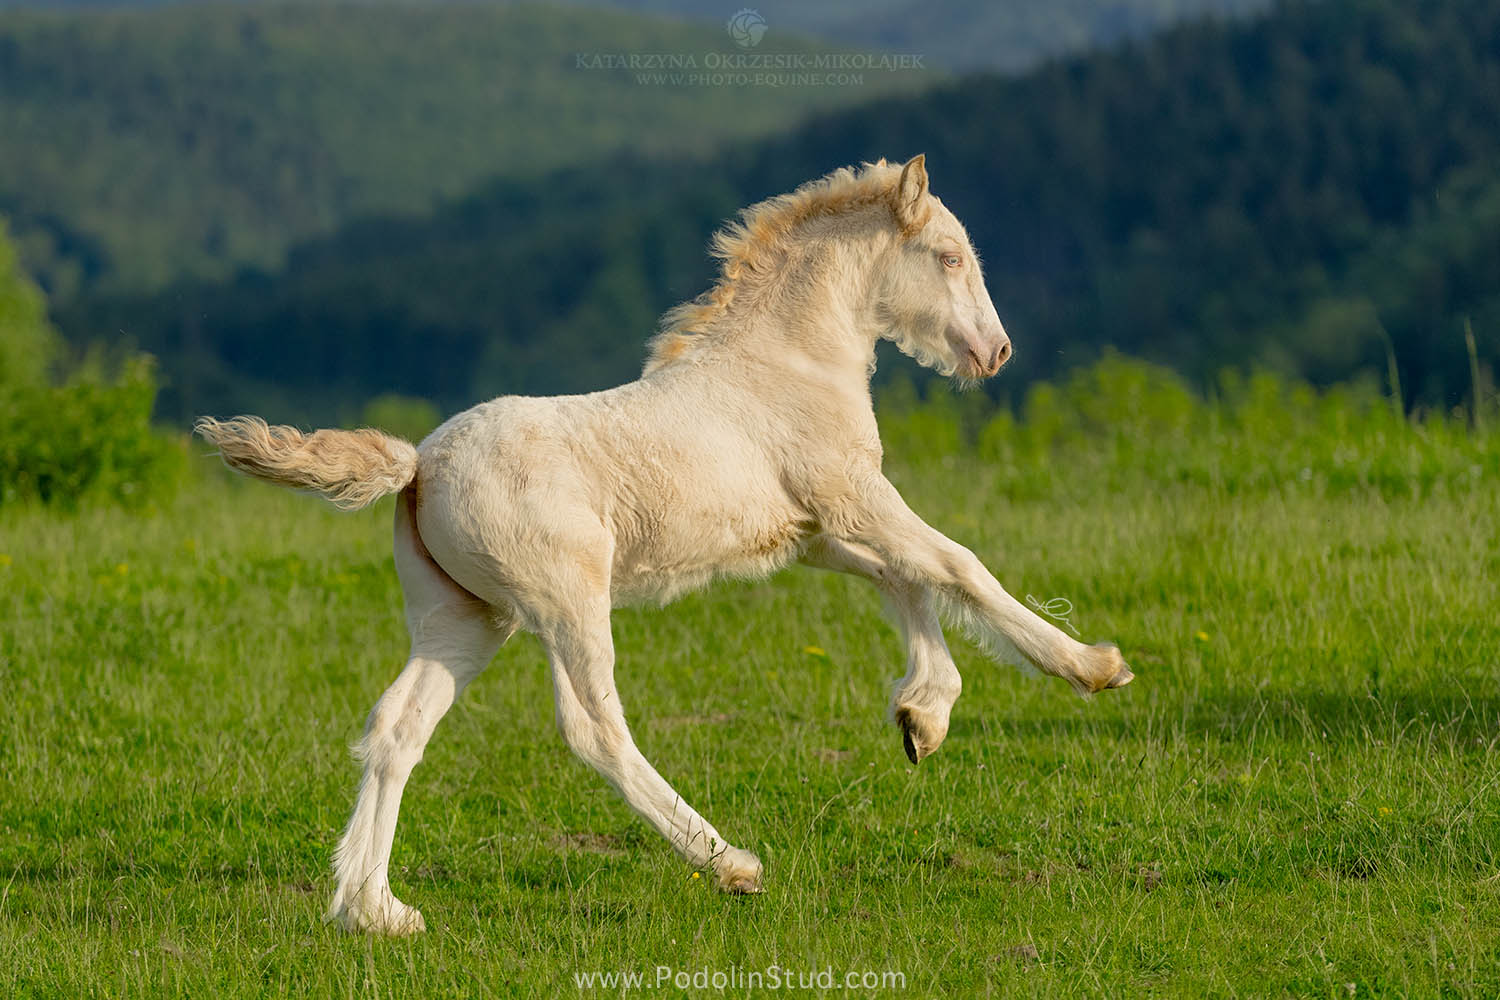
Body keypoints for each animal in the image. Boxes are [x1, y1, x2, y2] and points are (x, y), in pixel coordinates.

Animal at [202, 156, 1134, 941]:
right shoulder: (853, 499)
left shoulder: (812, 533)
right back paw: (731, 863)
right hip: (564, 602)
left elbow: (909, 582)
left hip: (465, 617)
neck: (787, 365)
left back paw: (374, 910)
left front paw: (923, 717)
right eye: (946, 256)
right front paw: (1093, 665)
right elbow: (958, 566)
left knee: (397, 729)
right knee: (592, 728)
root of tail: (417, 465)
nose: (996, 352)